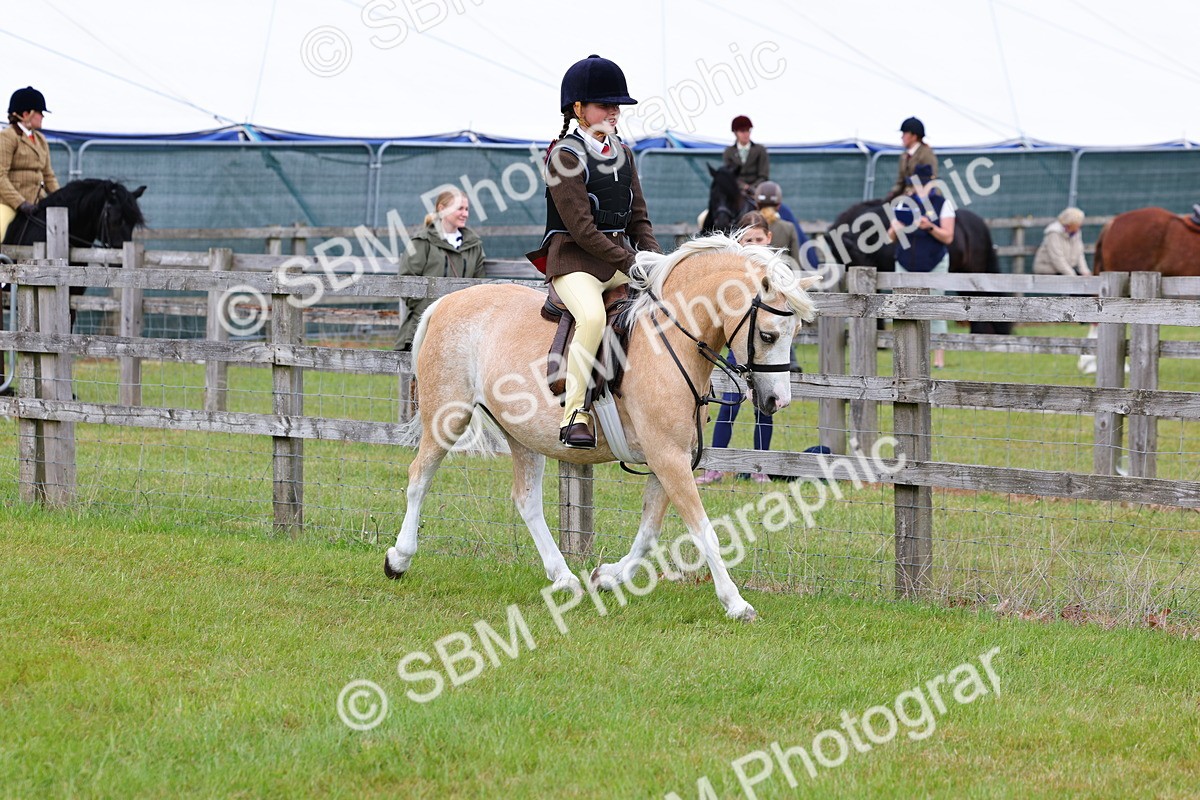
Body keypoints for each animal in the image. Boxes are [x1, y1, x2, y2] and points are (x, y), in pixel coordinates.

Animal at [386, 233, 819, 621]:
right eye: (767, 335)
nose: (778, 402)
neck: (669, 340)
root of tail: (446, 300)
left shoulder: (670, 459)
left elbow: (649, 533)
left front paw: (606, 577)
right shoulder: (668, 458)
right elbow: (704, 531)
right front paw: (736, 603)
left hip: (523, 435)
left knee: (526, 500)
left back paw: (564, 579)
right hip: (448, 416)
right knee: (419, 477)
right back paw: (399, 558)